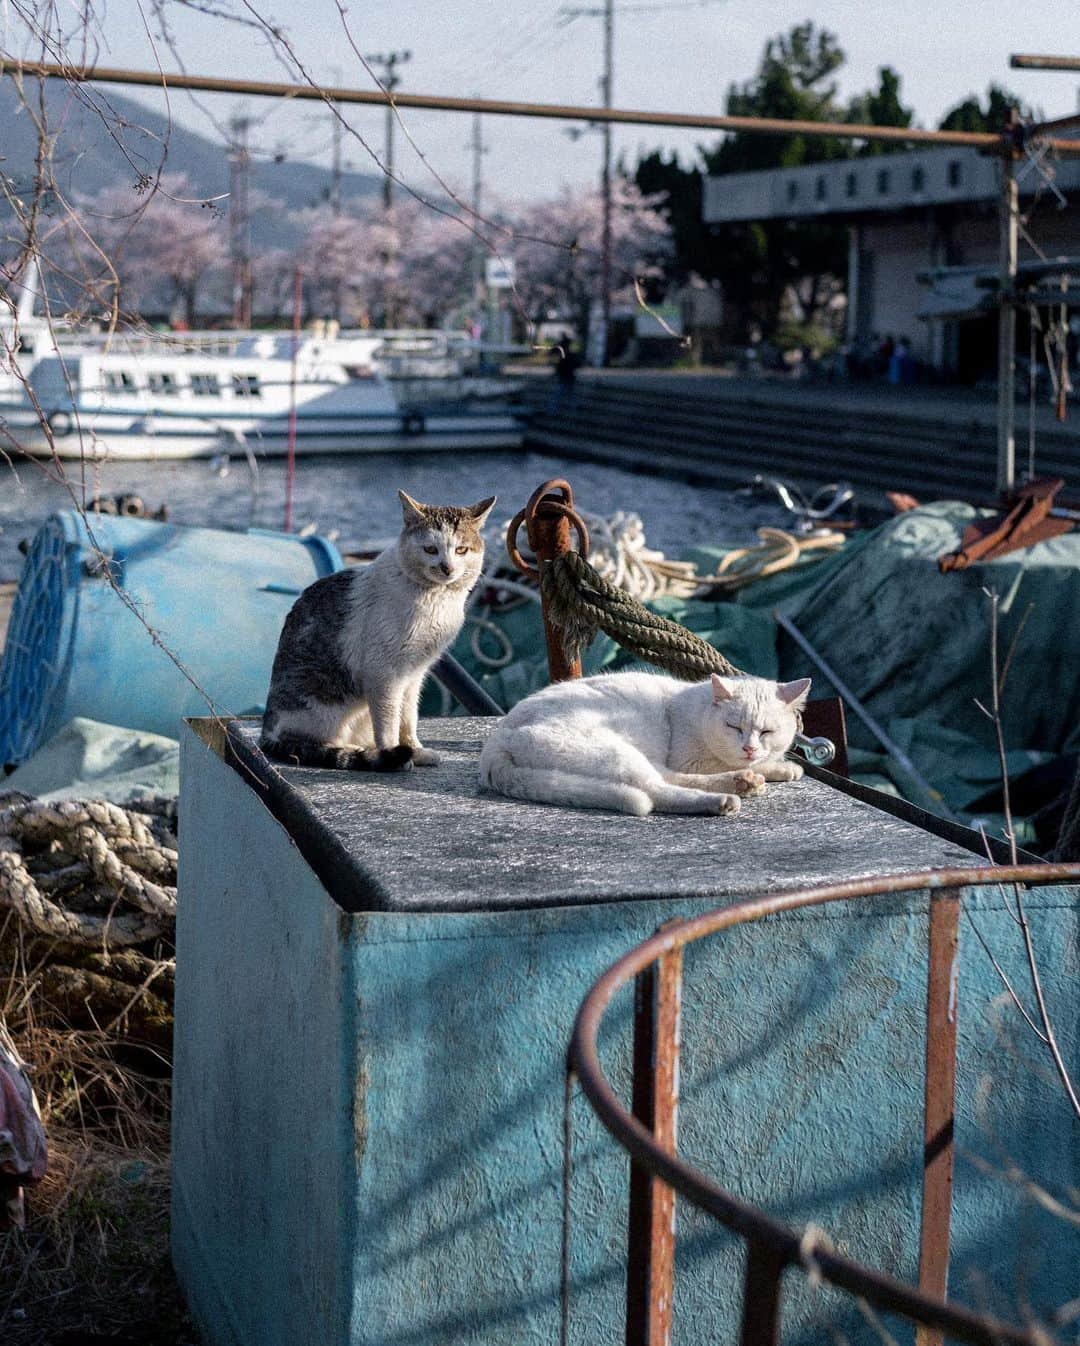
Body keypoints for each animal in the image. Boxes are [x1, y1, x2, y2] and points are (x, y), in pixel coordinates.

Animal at [261, 492, 495, 769]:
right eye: (430, 549)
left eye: (461, 550)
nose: (446, 567)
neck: (435, 597)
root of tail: (266, 734)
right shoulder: (384, 675)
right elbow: (388, 723)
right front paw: (393, 753)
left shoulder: (414, 675)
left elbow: (408, 719)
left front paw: (415, 751)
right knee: (306, 743)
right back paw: (354, 750)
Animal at [479, 667, 807, 812]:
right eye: (733, 726)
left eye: (766, 732)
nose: (749, 748)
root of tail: (498, 741)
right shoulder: (690, 759)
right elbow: (720, 764)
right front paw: (767, 768)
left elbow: (763, 760)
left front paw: (780, 766)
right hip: (617, 754)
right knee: (658, 790)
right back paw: (726, 797)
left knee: (666, 780)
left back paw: (741, 783)